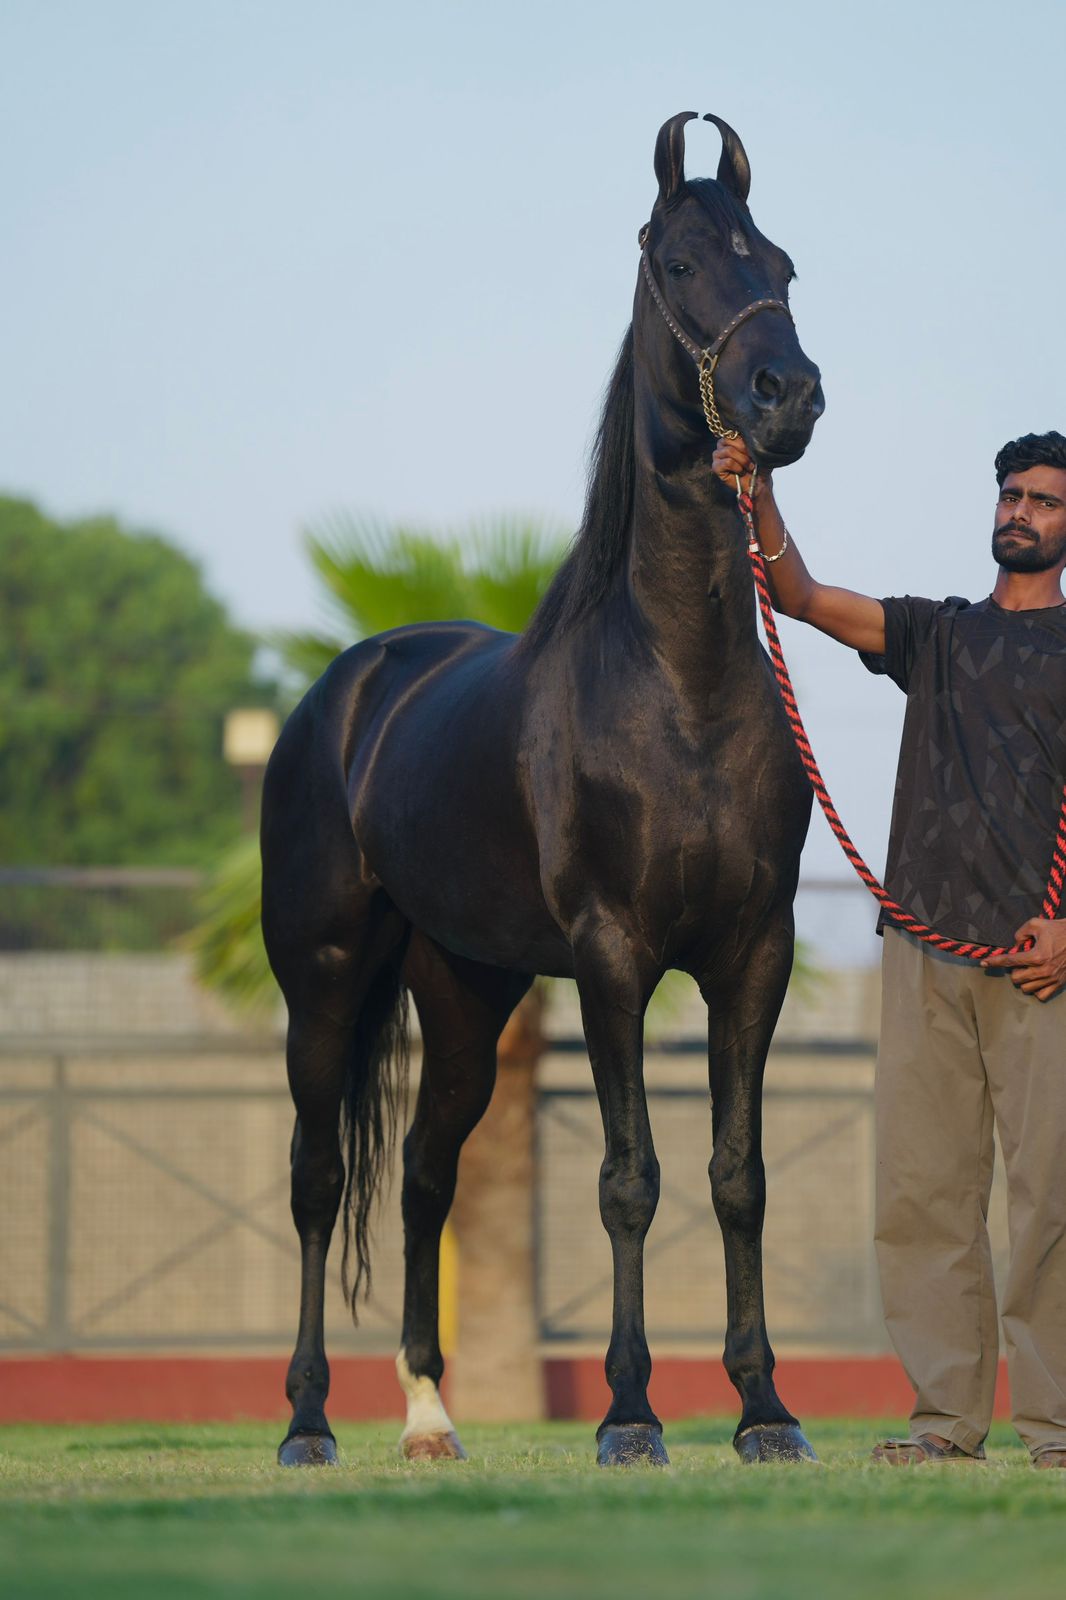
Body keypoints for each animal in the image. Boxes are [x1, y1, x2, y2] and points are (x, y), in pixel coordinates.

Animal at [261, 110, 824, 1468]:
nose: (788, 395)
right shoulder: (614, 956)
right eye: (680, 263)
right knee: (317, 1181)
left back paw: (427, 1417)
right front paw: (629, 1415)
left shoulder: (753, 953)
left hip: (466, 991)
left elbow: (737, 1175)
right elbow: (630, 1178)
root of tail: (346, 691)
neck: (679, 686)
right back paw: (307, 1423)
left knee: (423, 1171)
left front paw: (764, 1411)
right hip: (326, 982)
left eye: (781, 264)